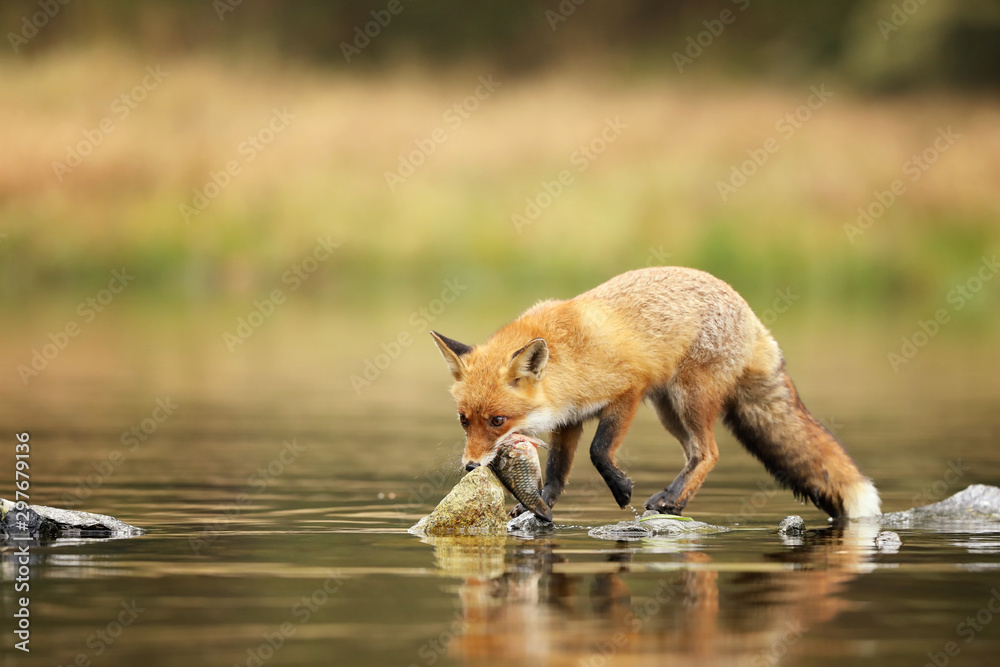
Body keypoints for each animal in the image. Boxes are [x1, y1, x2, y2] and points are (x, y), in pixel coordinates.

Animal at [430, 267, 881, 520]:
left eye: (498, 421)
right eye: (463, 420)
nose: (470, 467)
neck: (569, 360)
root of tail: (751, 314)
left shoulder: (628, 392)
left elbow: (599, 451)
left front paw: (620, 488)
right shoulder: (570, 418)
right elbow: (558, 471)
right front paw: (538, 505)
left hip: (688, 398)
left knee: (710, 452)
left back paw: (674, 503)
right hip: (669, 410)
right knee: (696, 453)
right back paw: (672, 497)